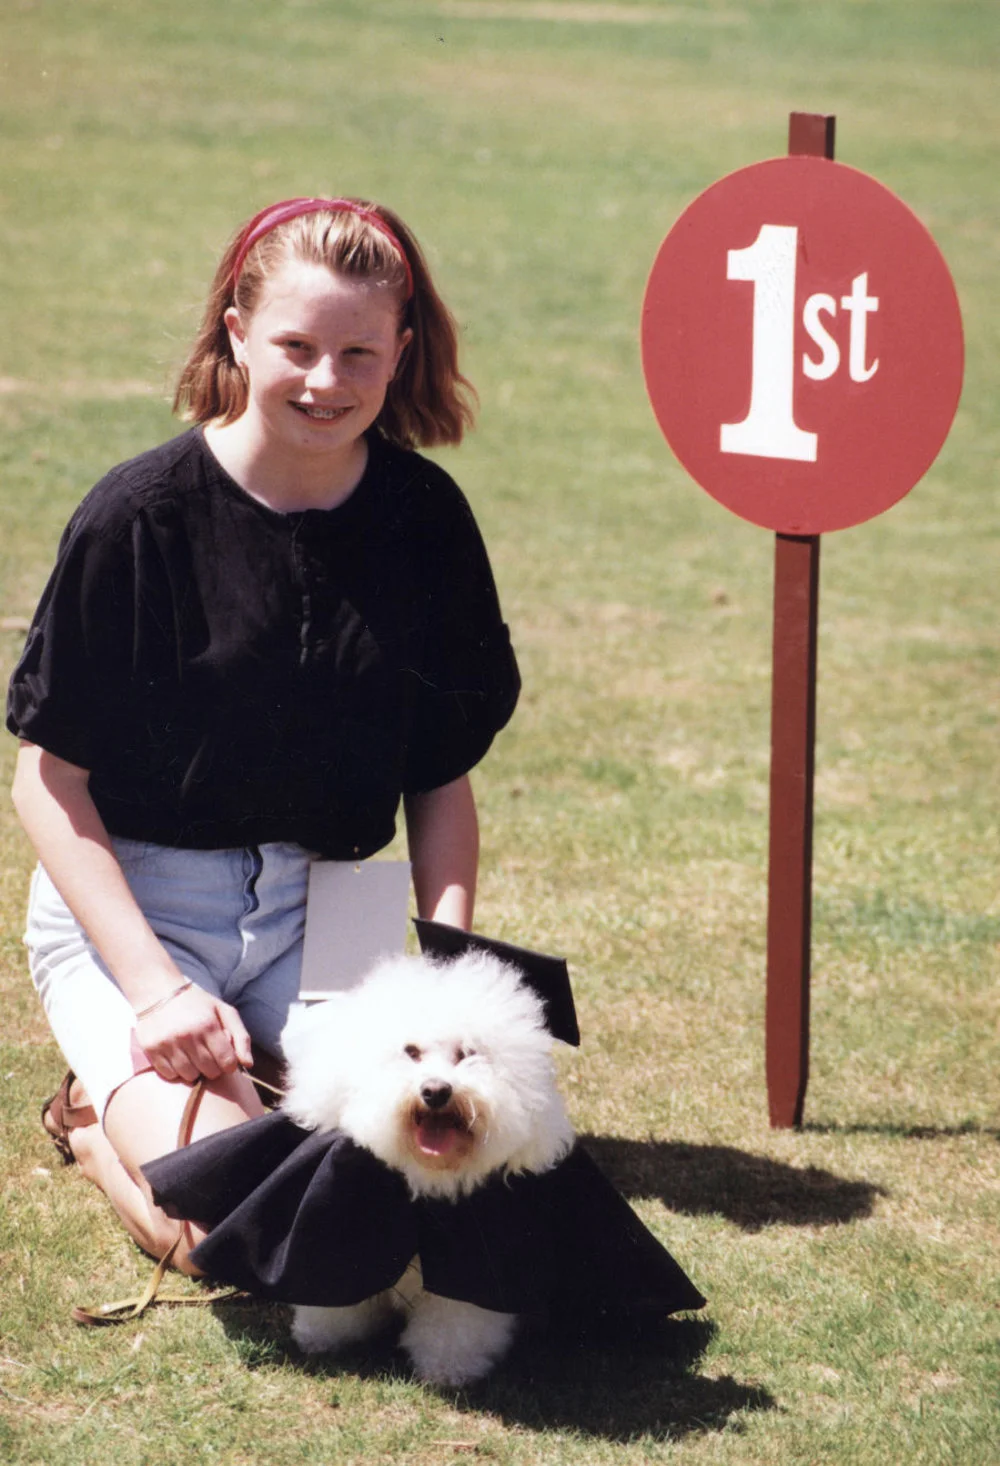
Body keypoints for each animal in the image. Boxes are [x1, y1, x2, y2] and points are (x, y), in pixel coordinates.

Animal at [280, 949, 577, 1383]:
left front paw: (447, 1368)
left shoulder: (470, 1269)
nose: (436, 1091)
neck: (426, 1179)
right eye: (411, 1051)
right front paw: (321, 1335)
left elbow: (455, 1322)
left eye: (468, 1053)